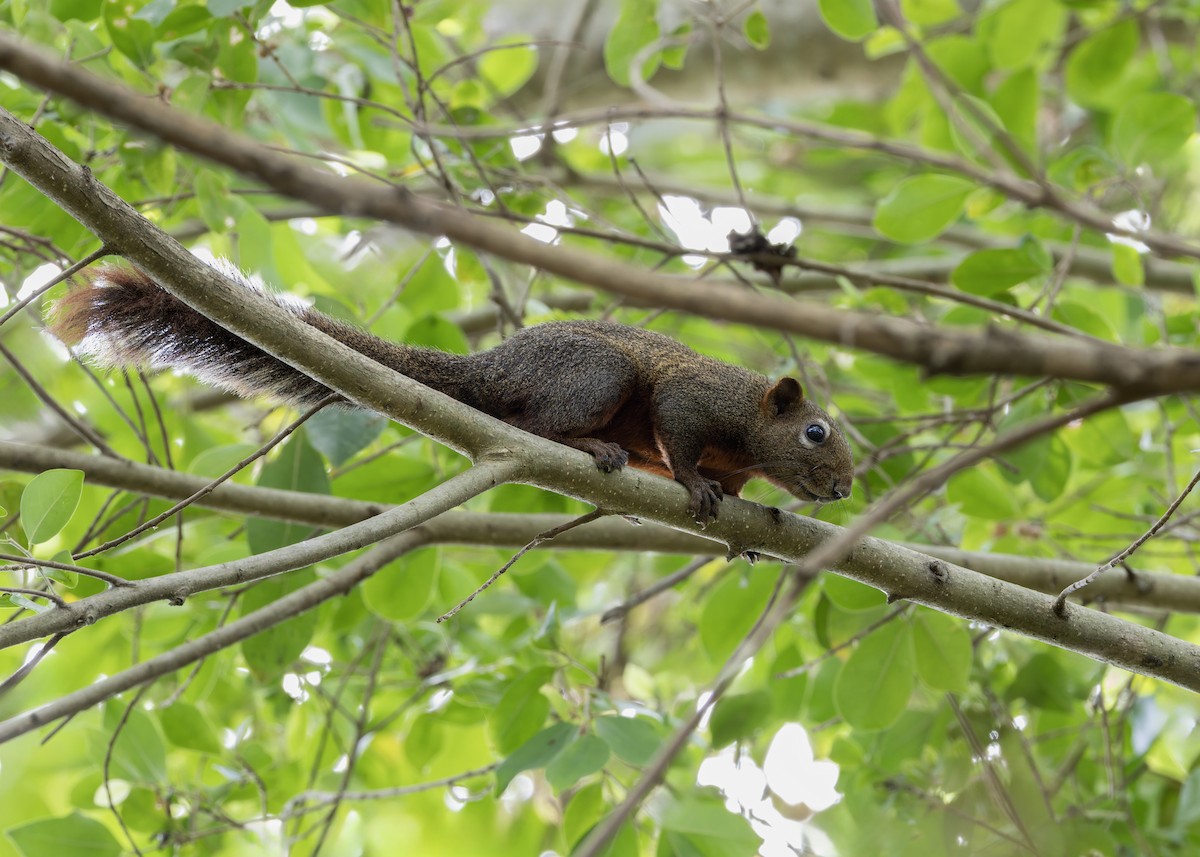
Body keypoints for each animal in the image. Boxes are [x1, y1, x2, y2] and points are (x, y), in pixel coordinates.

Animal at [49, 264, 854, 522]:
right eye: (815, 432)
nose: (846, 489)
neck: (750, 430)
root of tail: (491, 368)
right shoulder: (694, 399)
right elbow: (679, 442)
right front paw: (697, 484)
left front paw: (746, 505)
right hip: (598, 375)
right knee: (546, 423)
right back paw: (591, 446)